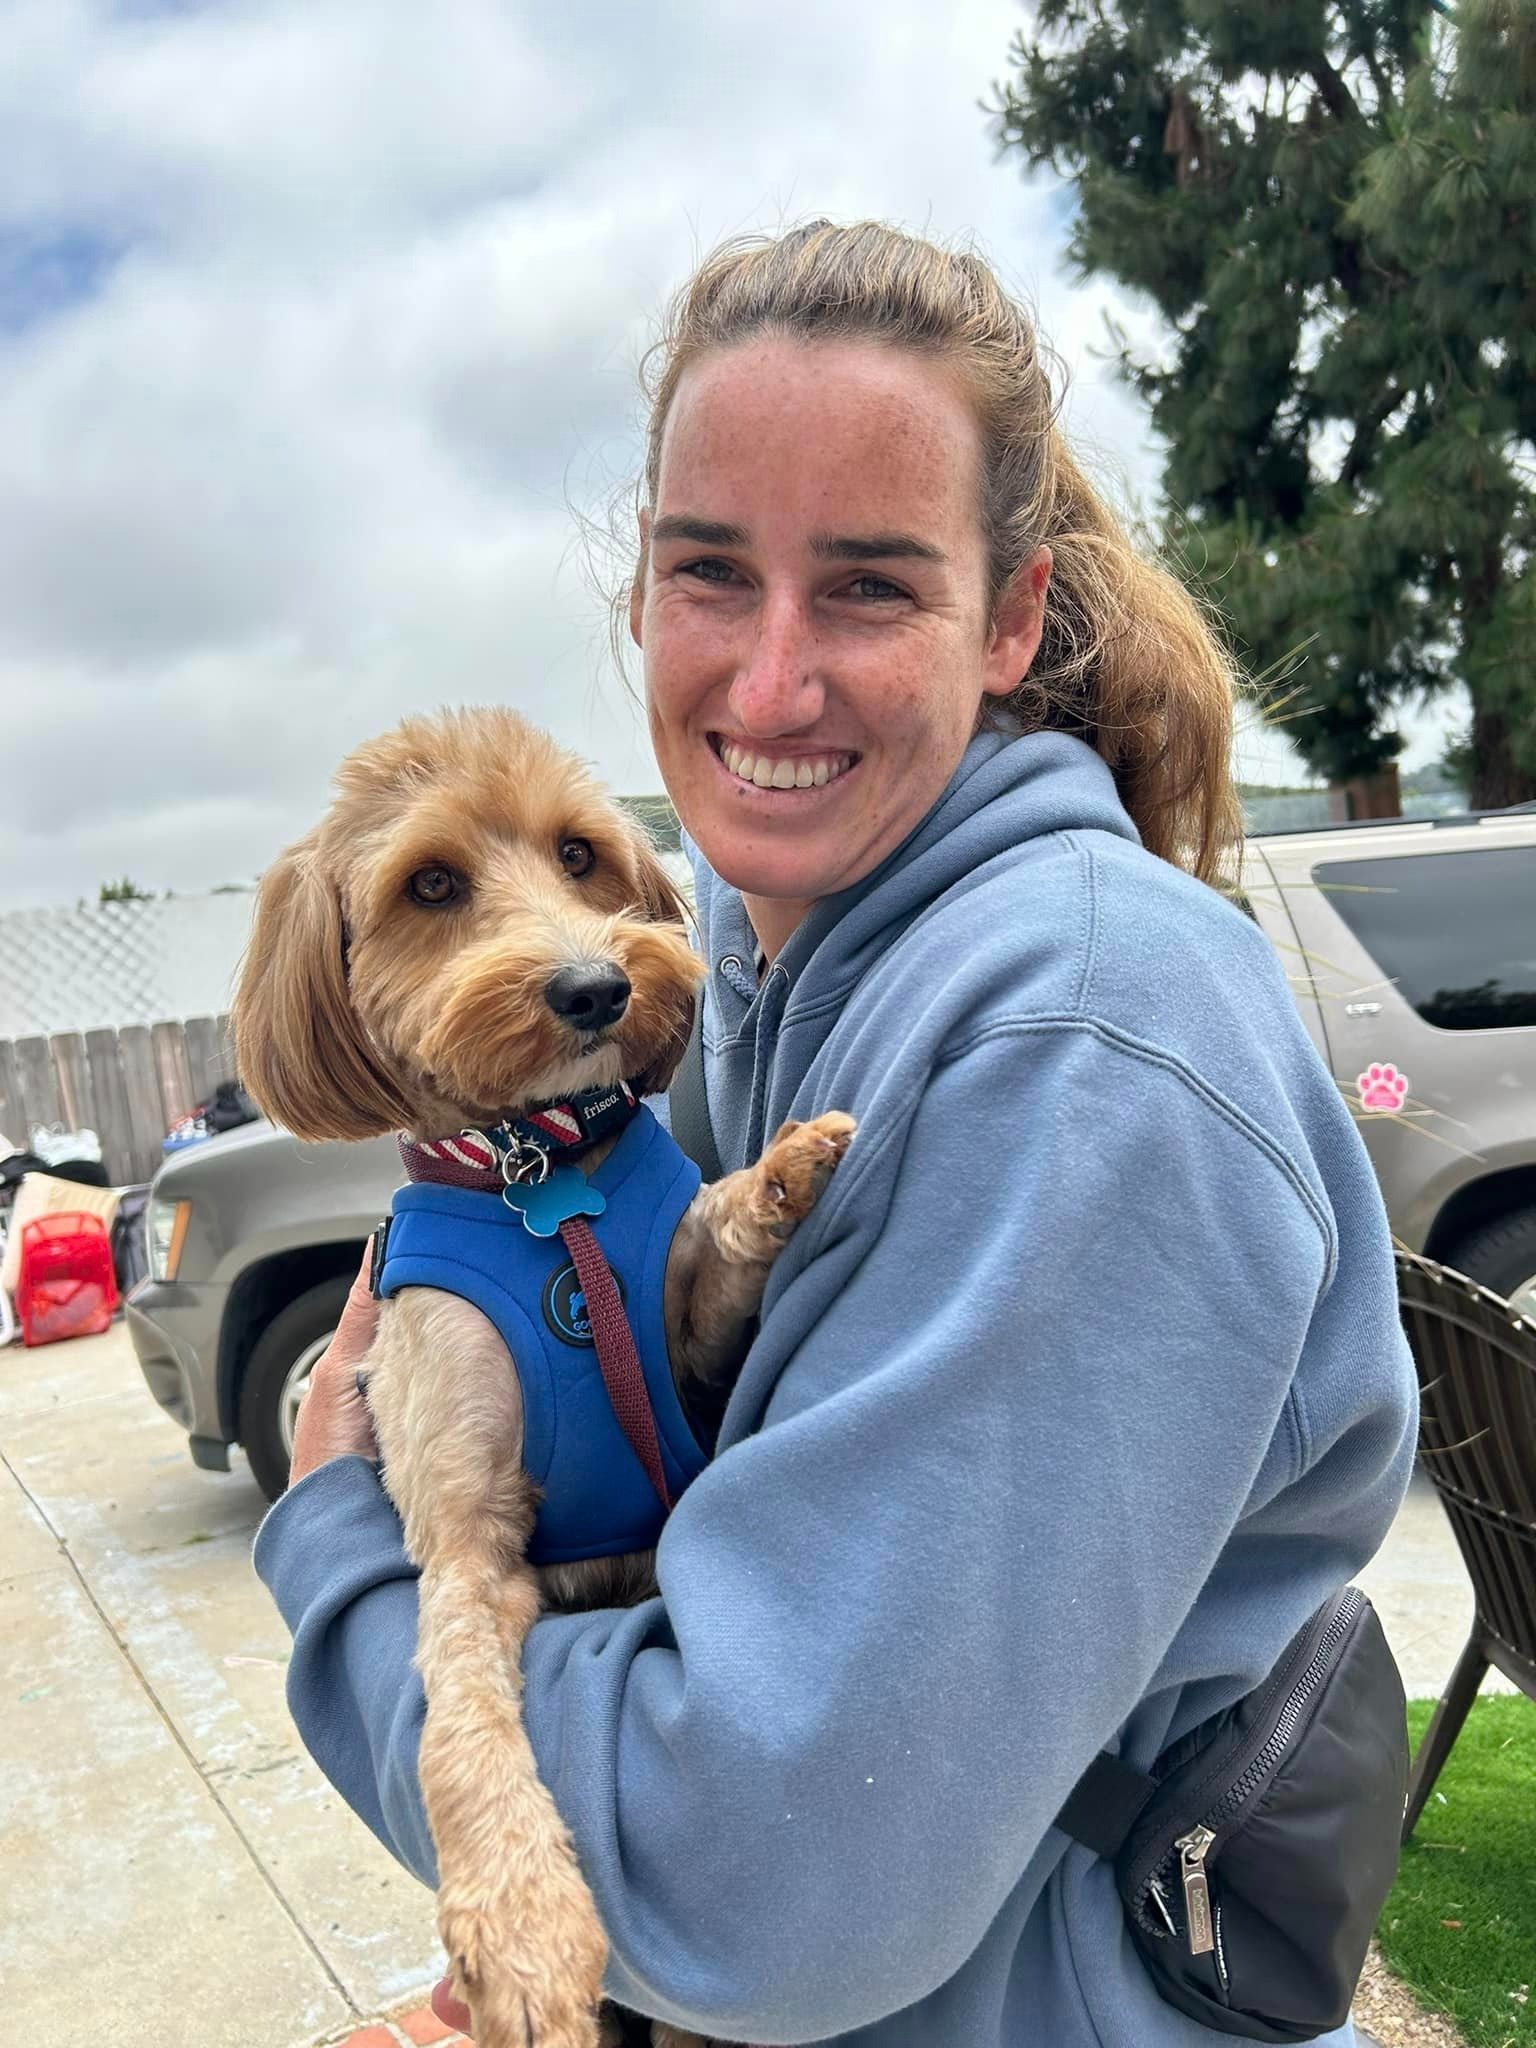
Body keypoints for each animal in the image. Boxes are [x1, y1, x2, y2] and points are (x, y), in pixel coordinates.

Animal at [233, 708, 856, 2048]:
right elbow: (464, 1725)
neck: (543, 1178)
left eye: (580, 855)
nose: (595, 986)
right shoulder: (464, 1534)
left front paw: (788, 1166)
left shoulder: (683, 1334)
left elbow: (721, 1237)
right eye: (429, 885)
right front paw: (524, 1932)